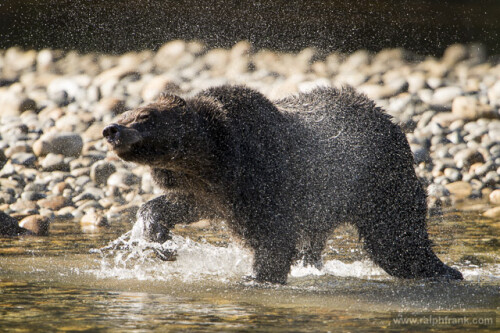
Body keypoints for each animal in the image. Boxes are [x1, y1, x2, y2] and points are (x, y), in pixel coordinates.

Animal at [102, 85, 464, 282]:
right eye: (126, 112)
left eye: (145, 116)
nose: (111, 129)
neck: (215, 160)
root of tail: (393, 122)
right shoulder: (208, 191)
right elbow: (175, 205)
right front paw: (159, 241)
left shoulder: (262, 180)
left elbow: (272, 239)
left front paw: (255, 276)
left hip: (378, 180)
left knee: (395, 238)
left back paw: (445, 271)